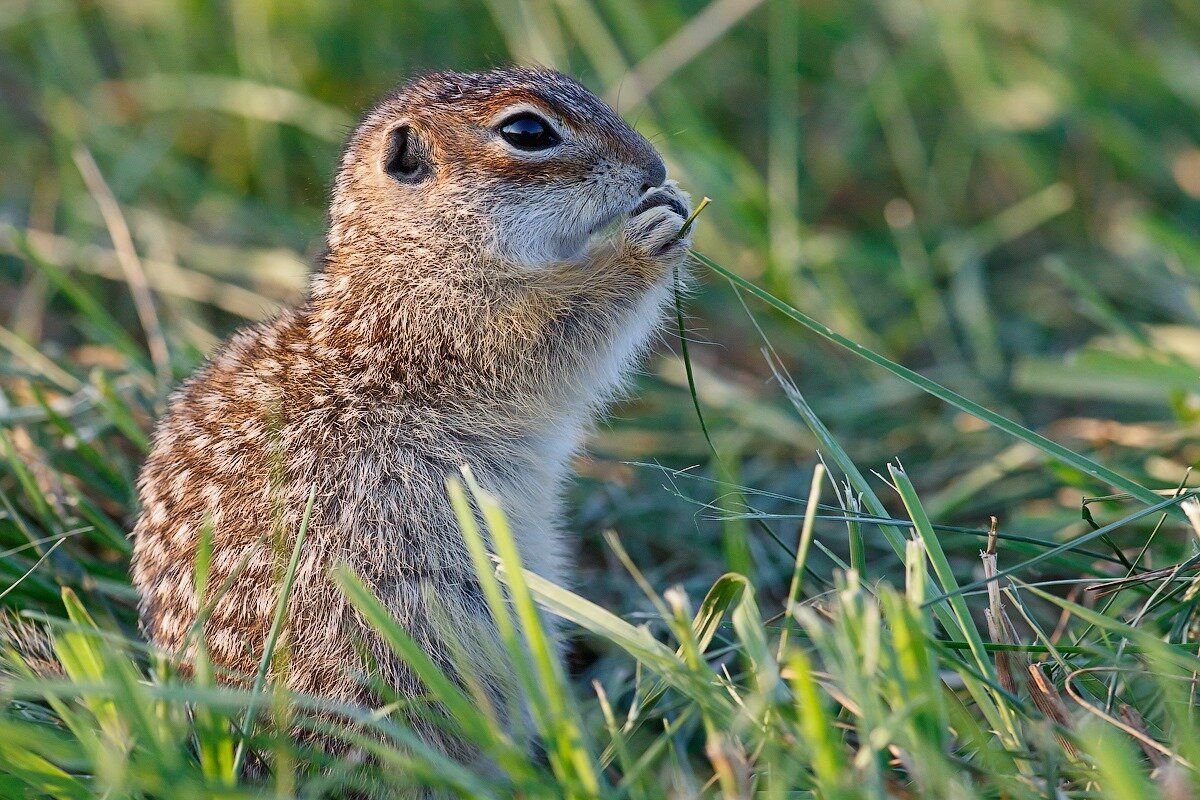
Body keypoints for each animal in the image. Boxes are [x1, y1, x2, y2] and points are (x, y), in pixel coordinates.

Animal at [123, 65, 696, 762]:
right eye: (527, 132)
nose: (654, 166)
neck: (409, 258)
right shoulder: (464, 330)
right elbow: (565, 324)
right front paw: (644, 240)